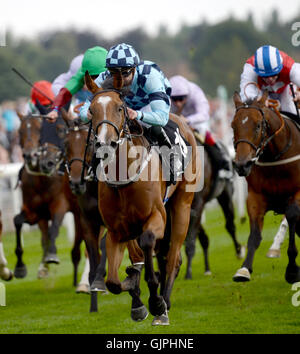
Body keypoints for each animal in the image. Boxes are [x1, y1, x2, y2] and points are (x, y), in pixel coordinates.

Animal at [85, 72, 200, 326]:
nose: (105, 144)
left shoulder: (157, 216)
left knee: (173, 258)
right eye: (91, 110)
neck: (123, 174)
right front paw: (135, 296)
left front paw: (156, 302)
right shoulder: (117, 230)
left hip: (182, 206)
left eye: (120, 108)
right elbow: (114, 281)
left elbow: (148, 244)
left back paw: (164, 305)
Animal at [184, 142, 245, 280]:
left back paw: (239, 251)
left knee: (230, 225)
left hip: (225, 194)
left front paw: (188, 273)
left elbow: (190, 240)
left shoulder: (198, 203)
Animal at [232, 90, 300, 284]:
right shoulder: (255, 197)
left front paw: (292, 270)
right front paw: (244, 269)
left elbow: (291, 218)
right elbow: (254, 235)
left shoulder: (297, 194)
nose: (242, 165)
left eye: (258, 125)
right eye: (233, 126)